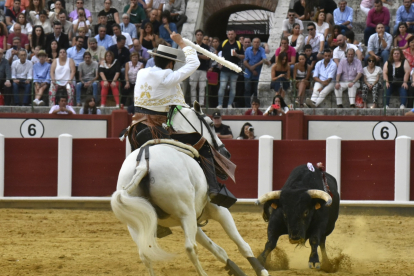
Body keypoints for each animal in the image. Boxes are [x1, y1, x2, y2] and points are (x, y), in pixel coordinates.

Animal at [111, 104, 268, 276]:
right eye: (211, 124)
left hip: (136, 222)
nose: (226, 153)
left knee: (145, 254)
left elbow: (218, 251)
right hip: (186, 213)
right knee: (190, 248)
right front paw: (262, 271)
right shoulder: (217, 210)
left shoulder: (193, 220)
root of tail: (142, 166)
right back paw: (203, 273)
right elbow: (242, 245)